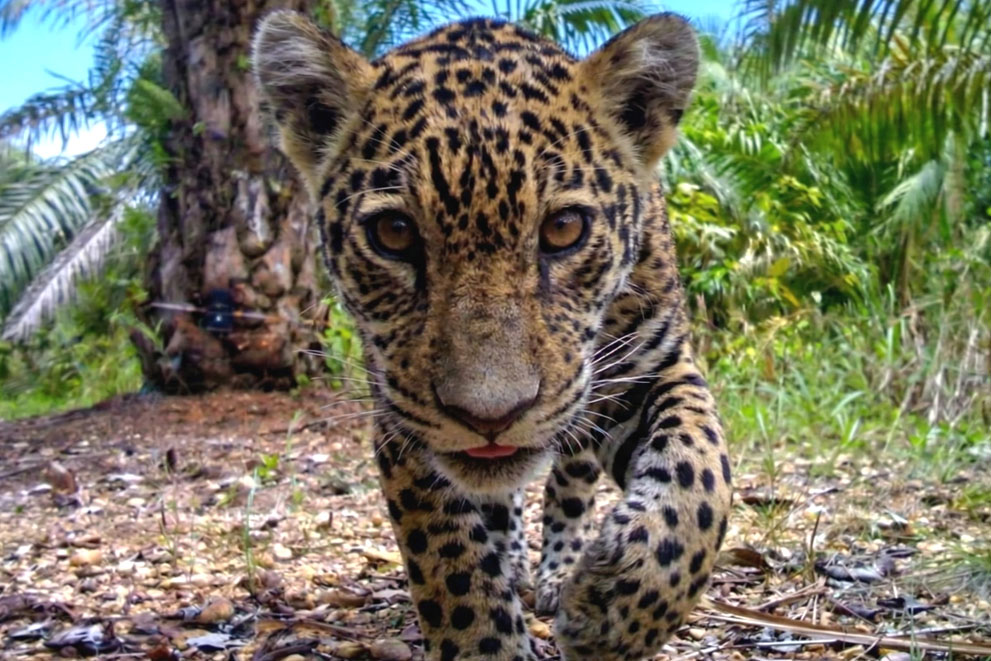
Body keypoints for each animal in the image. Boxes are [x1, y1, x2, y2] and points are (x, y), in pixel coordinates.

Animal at [253, 11, 732, 661]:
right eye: (394, 233)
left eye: (564, 228)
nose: (490, 416)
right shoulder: (400, 418)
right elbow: (449, 558)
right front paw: (488, 636)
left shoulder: (655, 365)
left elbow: (700, 472)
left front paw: (614, 613)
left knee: (571, 487)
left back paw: (561, 575)